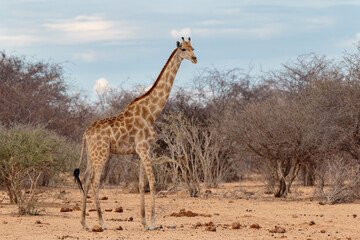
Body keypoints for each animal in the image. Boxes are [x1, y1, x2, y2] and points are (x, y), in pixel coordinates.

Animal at [73, 36, 197, 230]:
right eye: (183, 49)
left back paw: (84, 223)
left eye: (193, 47)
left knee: (85, 179)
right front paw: (153, 223)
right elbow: (152, 182)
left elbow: (141, 183)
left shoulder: (140, 151)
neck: (151, 113)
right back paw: (102, 223)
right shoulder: (144, 148)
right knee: (95, 181)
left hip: (90, 154)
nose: (195, 59)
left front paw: (144, 222)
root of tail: (86, 133)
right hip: (102, 153)